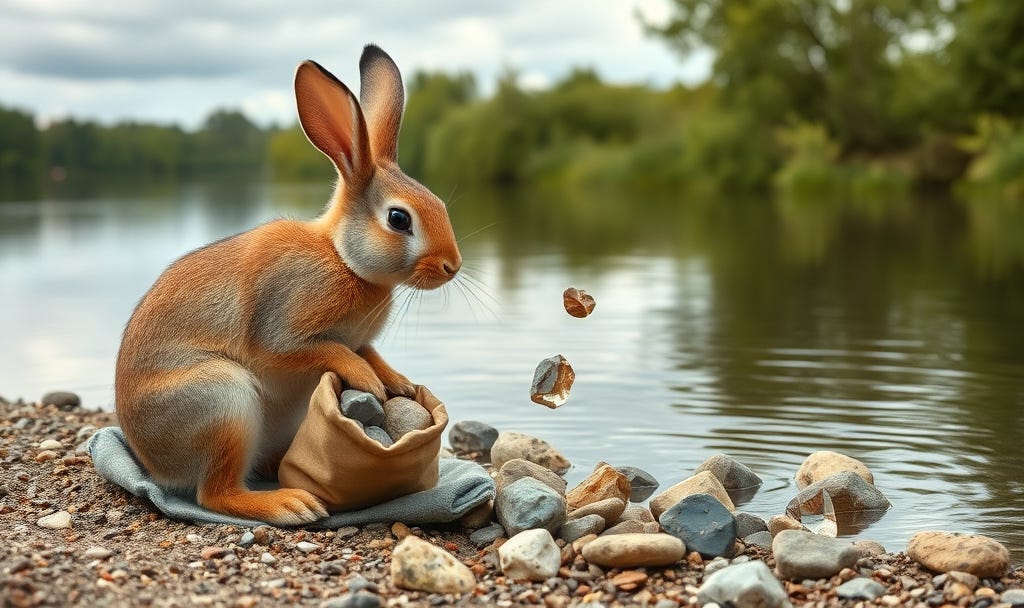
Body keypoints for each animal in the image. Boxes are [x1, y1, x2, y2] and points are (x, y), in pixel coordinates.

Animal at [114, 45, 461, 525]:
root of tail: (152, 461)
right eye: (398, 219)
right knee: (216, 494)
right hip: (223, 402)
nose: (453, 265)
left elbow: (367, 350)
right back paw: (289, 504)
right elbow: (319, 350)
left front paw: (399, 382)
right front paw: (368, 381)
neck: (342, 259)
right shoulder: (283, 331)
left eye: (440, 204)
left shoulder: (359, 338)